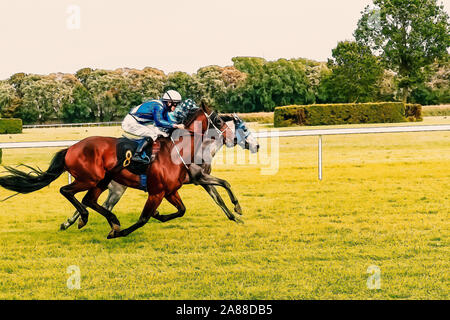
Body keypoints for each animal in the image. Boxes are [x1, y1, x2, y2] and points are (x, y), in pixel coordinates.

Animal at [0, 104, 232, 238]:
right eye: (219, 120)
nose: (229, 137)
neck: (177, 151)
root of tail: (71, 148)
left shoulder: (171, 191)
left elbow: (181, 210)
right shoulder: (156, 192)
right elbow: (143, 219)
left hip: (102, 182)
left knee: (89, 200)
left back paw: (107, 222)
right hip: (90, 178)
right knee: (68, 192)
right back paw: (89, 219)